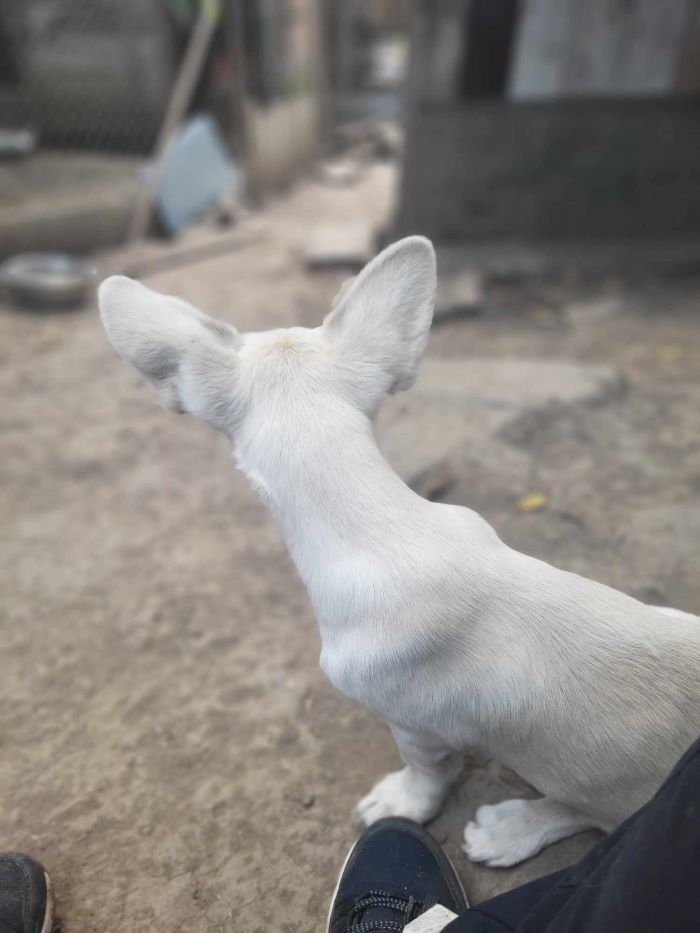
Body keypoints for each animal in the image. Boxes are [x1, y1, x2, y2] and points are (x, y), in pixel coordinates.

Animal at [100, 237, 700, 864]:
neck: (382, 527)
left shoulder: (417, 727)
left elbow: (426, 773)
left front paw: (403, 803)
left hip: (606, 794)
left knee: (592, 817)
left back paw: (511, 829)